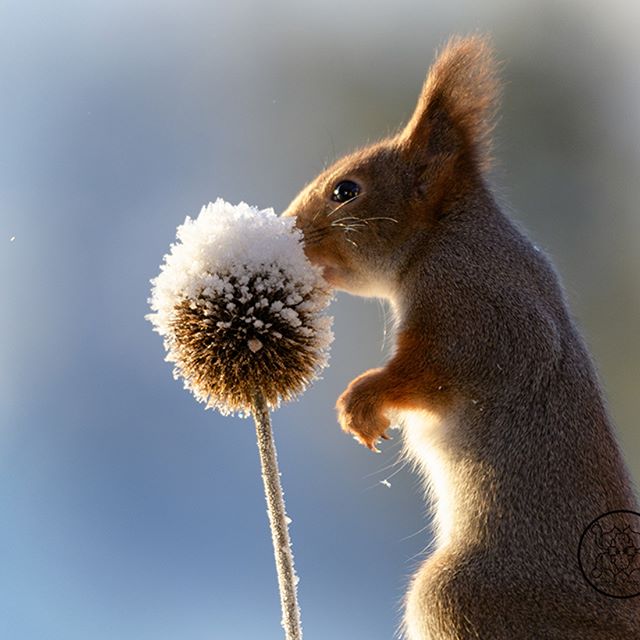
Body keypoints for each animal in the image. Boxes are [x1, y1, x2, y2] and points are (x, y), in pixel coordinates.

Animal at [282, 36, 636, 640]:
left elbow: (436, 370)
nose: (288, 227)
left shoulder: (474, 311)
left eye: (346, 190)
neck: (443, 234)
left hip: (457, 597)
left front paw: (362, 403)